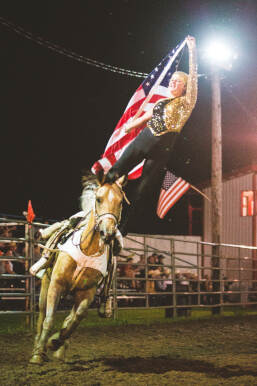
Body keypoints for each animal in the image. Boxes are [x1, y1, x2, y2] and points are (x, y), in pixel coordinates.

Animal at [29, 173, 124, 364]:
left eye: (120, 202)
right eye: (99, 199)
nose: (108, 232)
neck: (87, 249)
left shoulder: (87, 291)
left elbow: (76, 318)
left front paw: (55, 342)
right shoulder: (56, 284)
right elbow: (49, 319)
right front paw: (40, 352)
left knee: (70, 317)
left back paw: (59, 349)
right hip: (45, 284)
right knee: (42, 314)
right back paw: (38, 349)